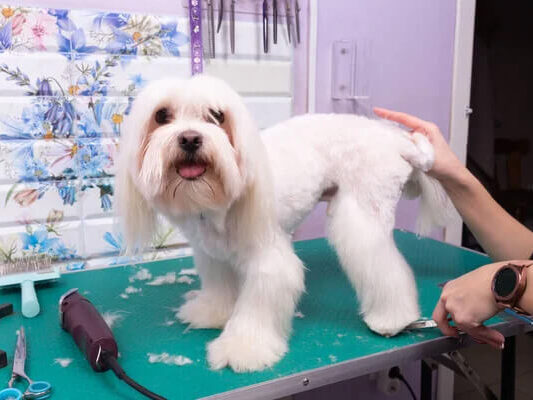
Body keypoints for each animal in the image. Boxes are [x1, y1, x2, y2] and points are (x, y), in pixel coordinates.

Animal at [115, 74, 448, 372]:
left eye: (217, 116)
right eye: (161, 116)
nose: (190, 138)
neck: (217, 203)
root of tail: (395, 139)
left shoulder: (269, 259)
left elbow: (259, 304)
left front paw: (243, 349)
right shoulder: (212, 254)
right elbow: (219, 286)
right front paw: (213, 313)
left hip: (363, 211)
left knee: (384, 266)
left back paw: (392, 319)